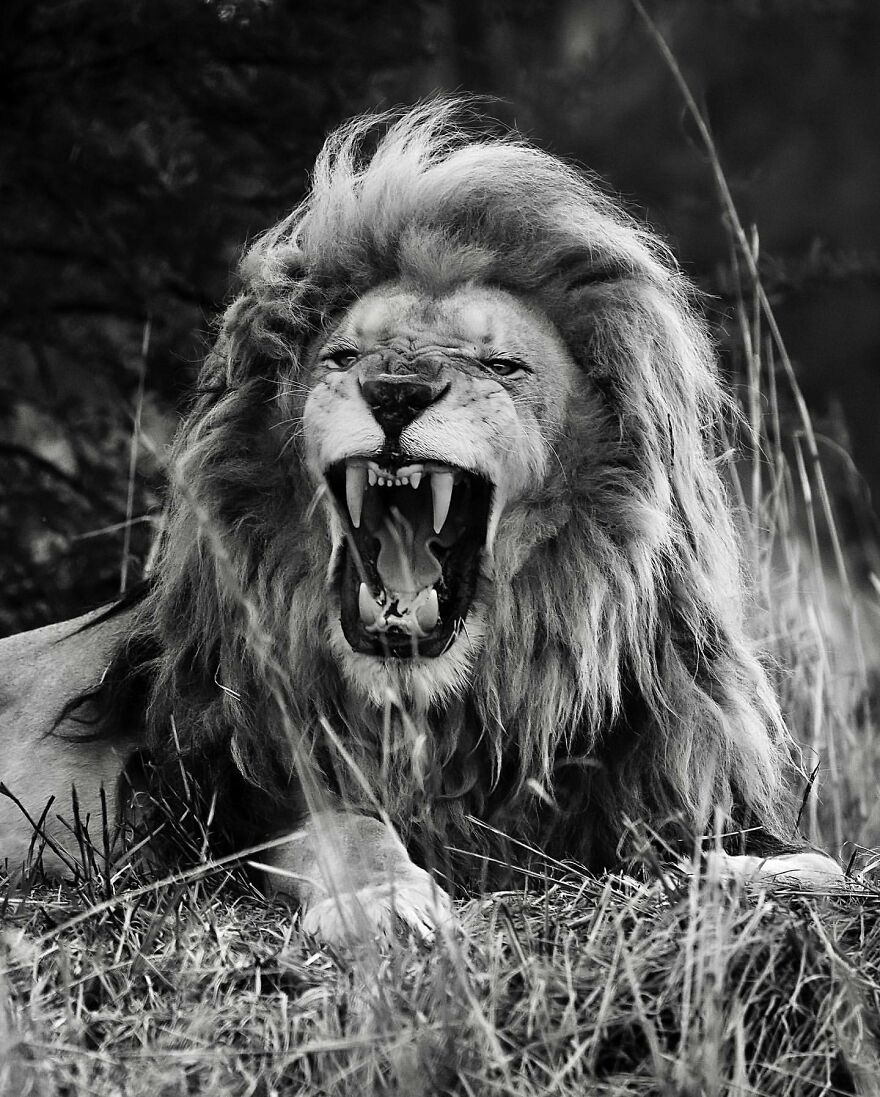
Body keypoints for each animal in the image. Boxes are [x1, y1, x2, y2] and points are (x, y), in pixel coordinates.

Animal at [0, 102, 843, 941]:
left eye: (501, 366)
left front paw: (761, 867)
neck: (440, 709)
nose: (397, 390)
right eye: (344, 357)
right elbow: (350, 829)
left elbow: (718, 845)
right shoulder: (239, 795)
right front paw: (383, 900)